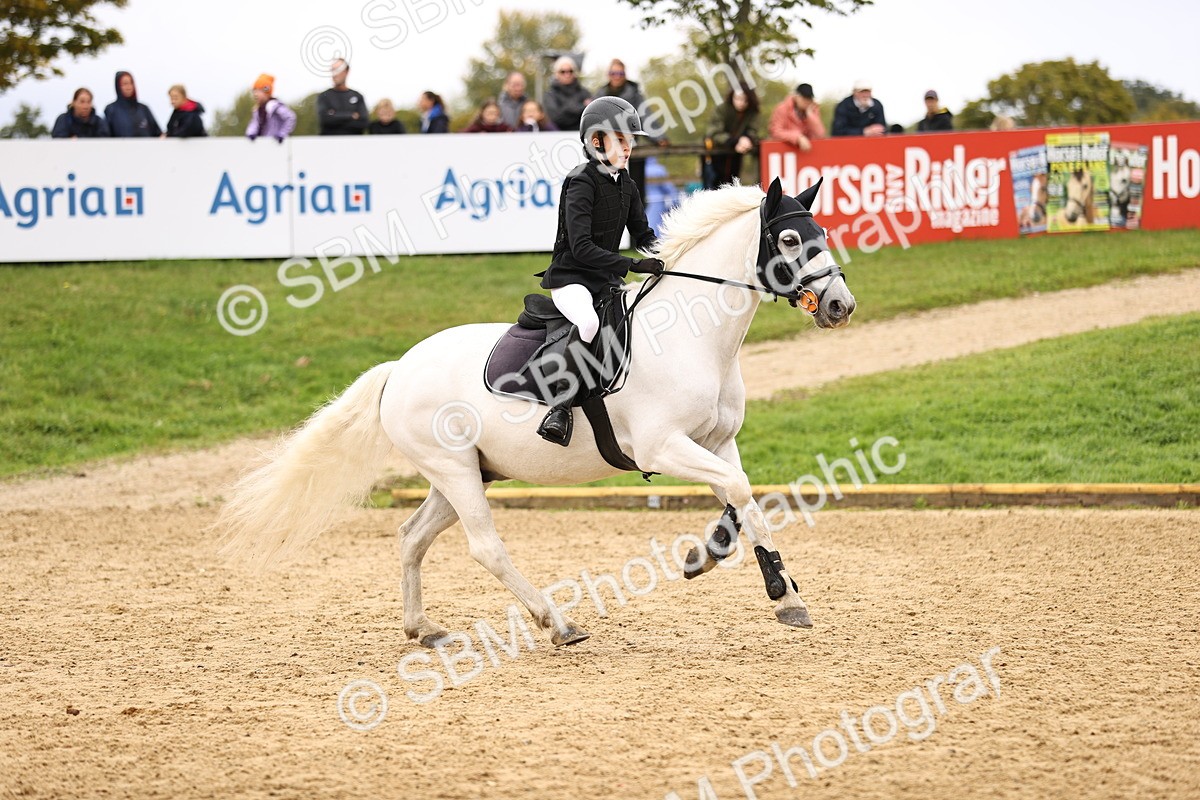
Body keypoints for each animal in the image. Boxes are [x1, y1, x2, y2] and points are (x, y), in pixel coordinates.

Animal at [215, 177, 856, 648]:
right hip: (454, 472)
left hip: (463, 474)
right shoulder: (664, 446)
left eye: (821, 232)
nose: (840, 306)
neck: (694, 335)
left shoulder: (718, 441)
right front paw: (781, 595)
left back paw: (423, 628)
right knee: (485, 547)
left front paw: (719, 561)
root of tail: (398, 369)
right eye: (791, 241)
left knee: (412, 537)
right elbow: (740, 490)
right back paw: (558, 622)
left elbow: (742, 497)